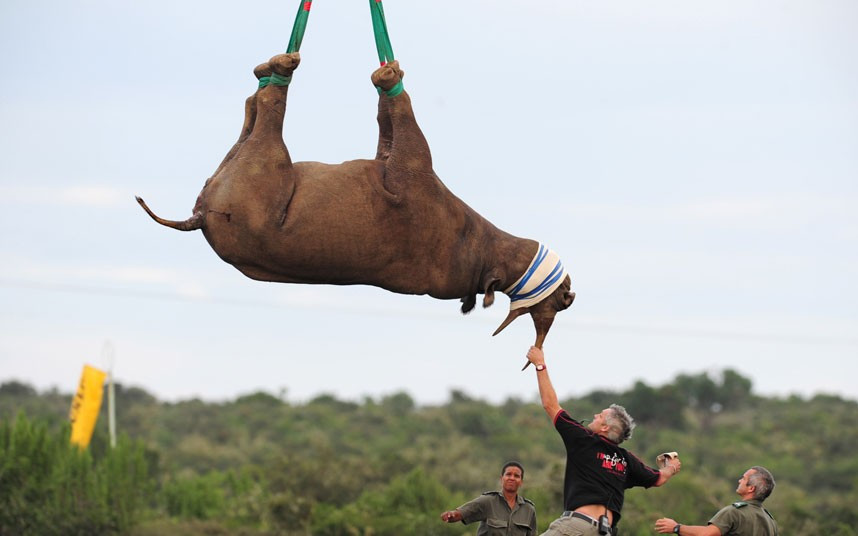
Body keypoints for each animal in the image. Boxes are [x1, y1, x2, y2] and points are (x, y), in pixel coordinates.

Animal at [136, 53, 575, 350]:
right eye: (559, 301)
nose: (569, 293)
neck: (481, 249)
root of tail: (199, 217)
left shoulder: (411, 169)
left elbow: (400, 114)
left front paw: (388, 78)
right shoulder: (397, 162)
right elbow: (387, 123)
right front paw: (390, 74)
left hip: (262, 162)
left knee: (265, 107)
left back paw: (277, 70)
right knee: (254, 106)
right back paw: (271, 70)